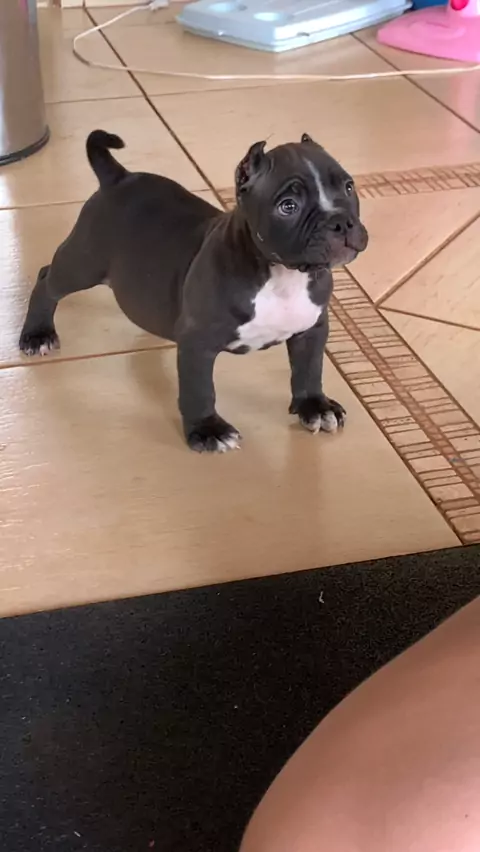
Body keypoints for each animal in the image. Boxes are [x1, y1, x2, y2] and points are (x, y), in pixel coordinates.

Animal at [19, 130, 368, 452]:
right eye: (288, 206)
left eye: (349, 187)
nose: (341, 222)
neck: (282, 275)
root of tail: (118, 178)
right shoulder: (197, 343)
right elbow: (199, 390)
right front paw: (207, 430)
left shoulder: (311, 328)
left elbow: (309, 369)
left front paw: (316, 406)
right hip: (84, 262)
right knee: (48, 280)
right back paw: (37, 334)